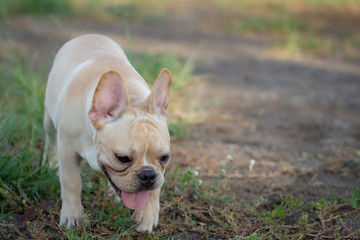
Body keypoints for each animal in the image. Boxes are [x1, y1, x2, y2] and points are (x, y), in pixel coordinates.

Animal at [43, 33, 172, 232]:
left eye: (164, 157)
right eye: (122, 158)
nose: (148, 175)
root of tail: (89, 35)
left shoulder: (159, 172)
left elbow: (154, 191)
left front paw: (147, 215)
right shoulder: (67, 150)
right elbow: (72, 182)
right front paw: (72, 215)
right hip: (49, 121)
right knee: (50, 142)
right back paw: (49, 164)